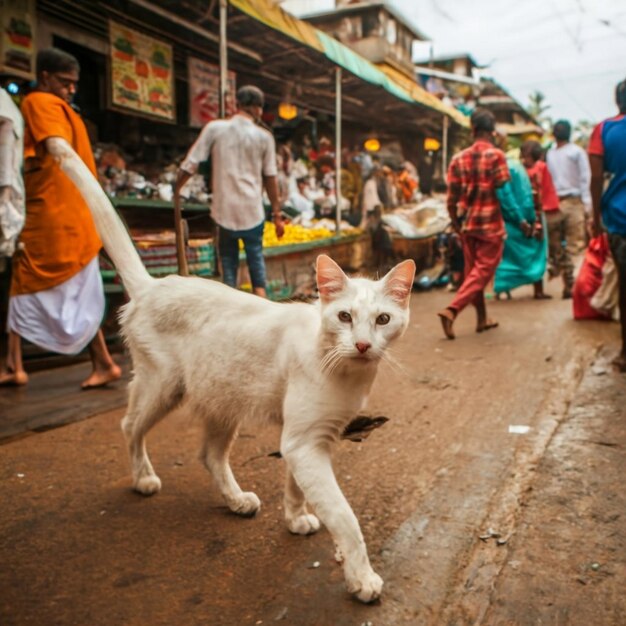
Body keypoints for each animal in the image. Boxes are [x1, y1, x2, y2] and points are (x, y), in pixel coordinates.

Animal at [48, 135, 414, 600]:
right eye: (345, 317)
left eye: (383, 320)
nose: (364, 344)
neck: (346, 371)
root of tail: (154, 284)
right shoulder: (305, 441)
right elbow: (344, 515)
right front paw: (361, 576)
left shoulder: (308, 438)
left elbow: (296, 485)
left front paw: (295, 518)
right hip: (162, 386)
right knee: (130, 425)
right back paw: (144, 478)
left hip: (223, 398)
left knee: (209, 455)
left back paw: (236, 500)